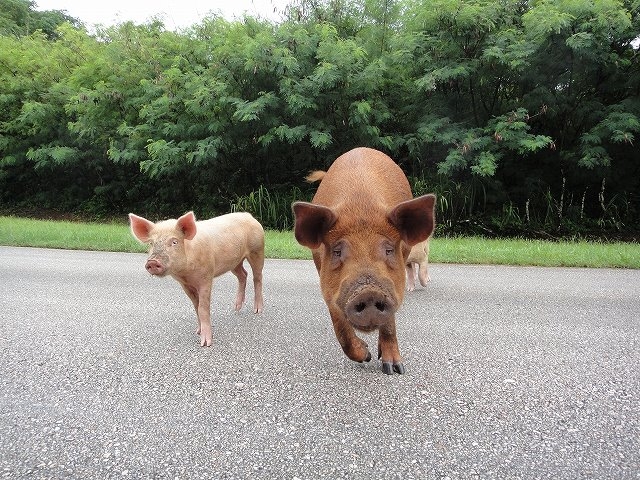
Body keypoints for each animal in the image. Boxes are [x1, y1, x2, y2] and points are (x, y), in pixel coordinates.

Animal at [129, 210, 264, 344]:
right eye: (151, 243)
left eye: (174, 242)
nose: (152, 262)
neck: (185, 273)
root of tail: (249, 216)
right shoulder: (184, 284)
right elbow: (196, 306)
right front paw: (197, 332)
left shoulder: (206, 277)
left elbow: (203, 308)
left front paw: (205, 343)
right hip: (235, 262)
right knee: (243, 275)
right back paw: (236, 308)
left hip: (257, 250)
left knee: (257, 277)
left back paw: (257, 310)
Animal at [294, 146, 436, 376]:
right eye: (337, 251)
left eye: (388, 250)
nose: (369, 292)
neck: (361, 207)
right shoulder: (328, 286)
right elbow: (340, 326)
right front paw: (366, 356)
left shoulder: (393, 285)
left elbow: (389, 323)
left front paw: (394, 369)